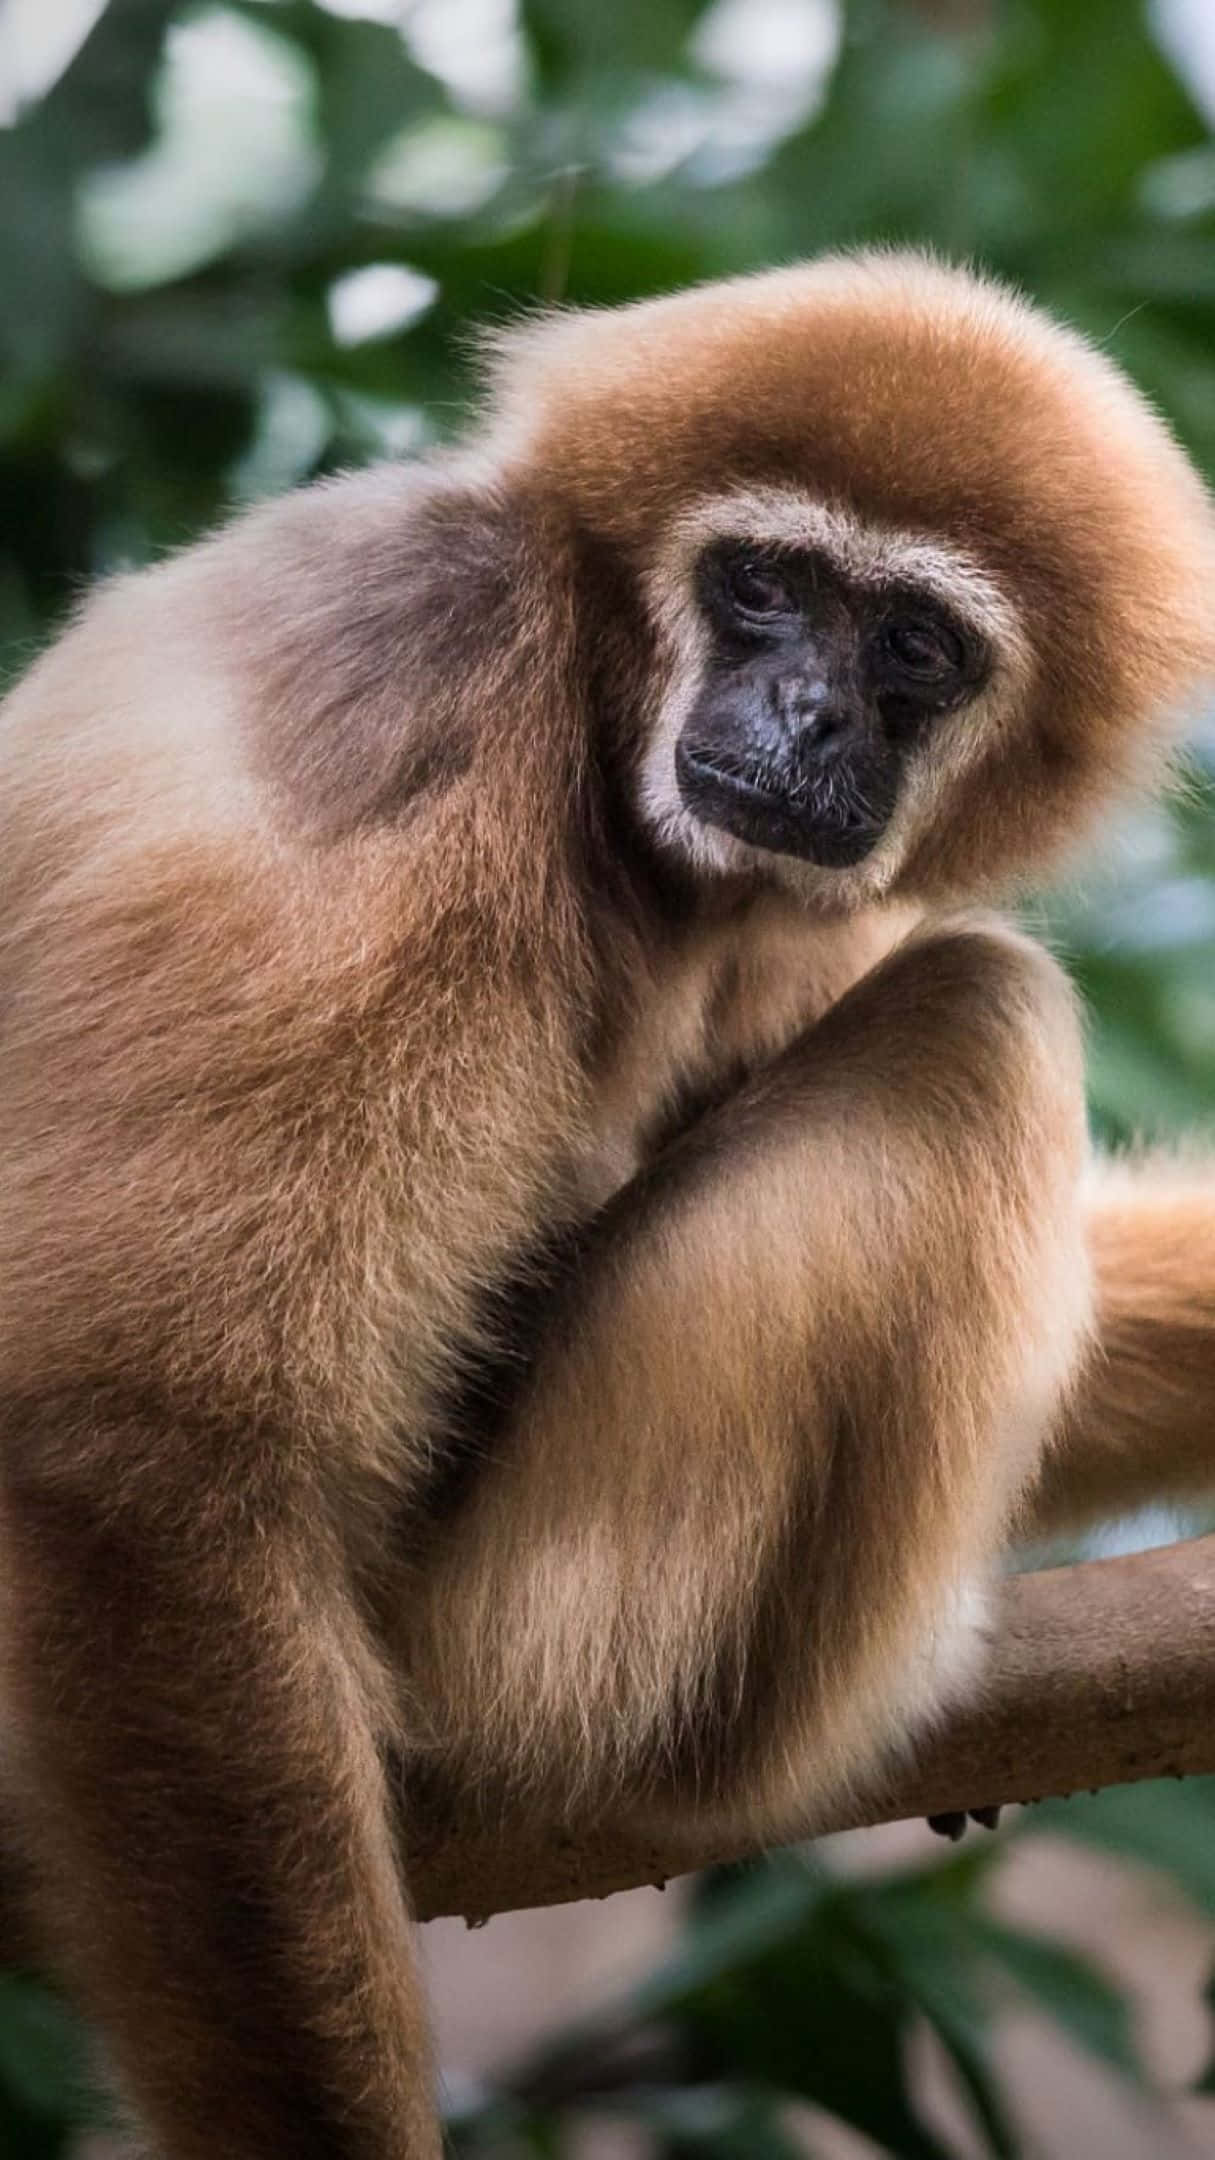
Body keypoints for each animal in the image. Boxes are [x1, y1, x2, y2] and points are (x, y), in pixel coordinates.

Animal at [1, 248, 1214, 2158]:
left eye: (914, 646)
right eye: (762, 587)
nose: (802, 714)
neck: (585, 686)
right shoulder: (430, 689)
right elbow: (149, 1448)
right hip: (496, 1637)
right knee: (980, 1025)